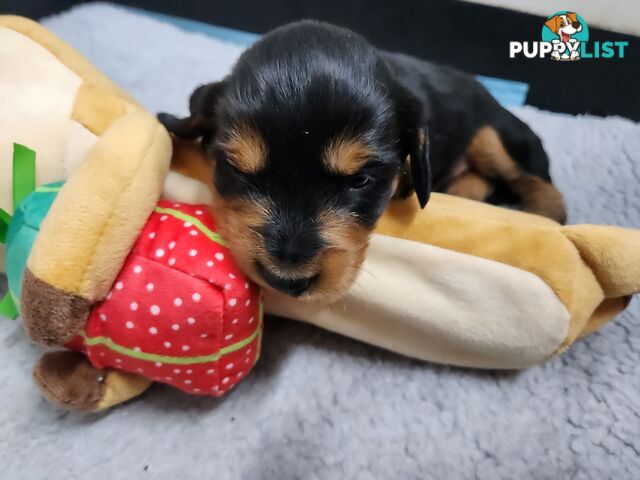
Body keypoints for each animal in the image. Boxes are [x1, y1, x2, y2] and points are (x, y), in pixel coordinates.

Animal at [160, 21, 564, 300]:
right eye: (240, 172)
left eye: (360, 181)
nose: (286, 282)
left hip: (494, 135)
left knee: (541, 185)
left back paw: (544, 215)